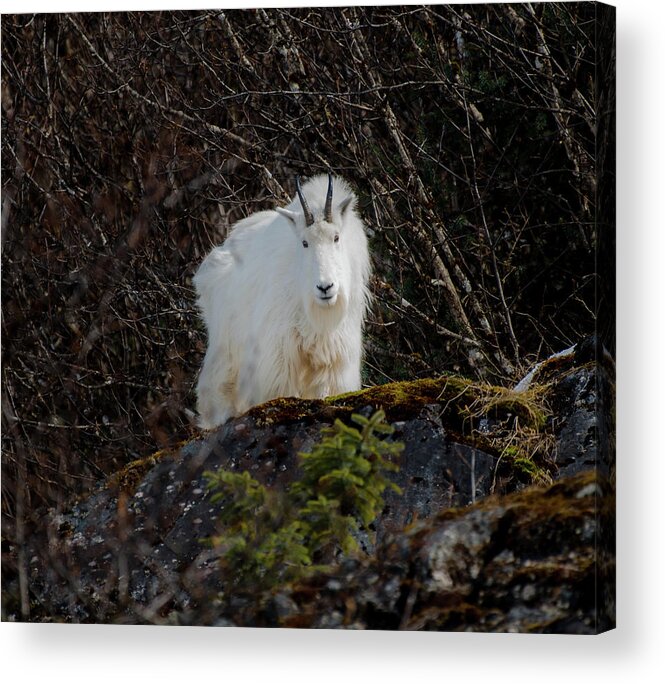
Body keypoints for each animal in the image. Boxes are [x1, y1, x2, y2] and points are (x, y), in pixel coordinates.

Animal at [192, 172, 370, 428]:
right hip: (226, 345)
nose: (325, 287)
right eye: (304, 243)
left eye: (336, 237)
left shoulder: (333, 356)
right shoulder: (279, 352)